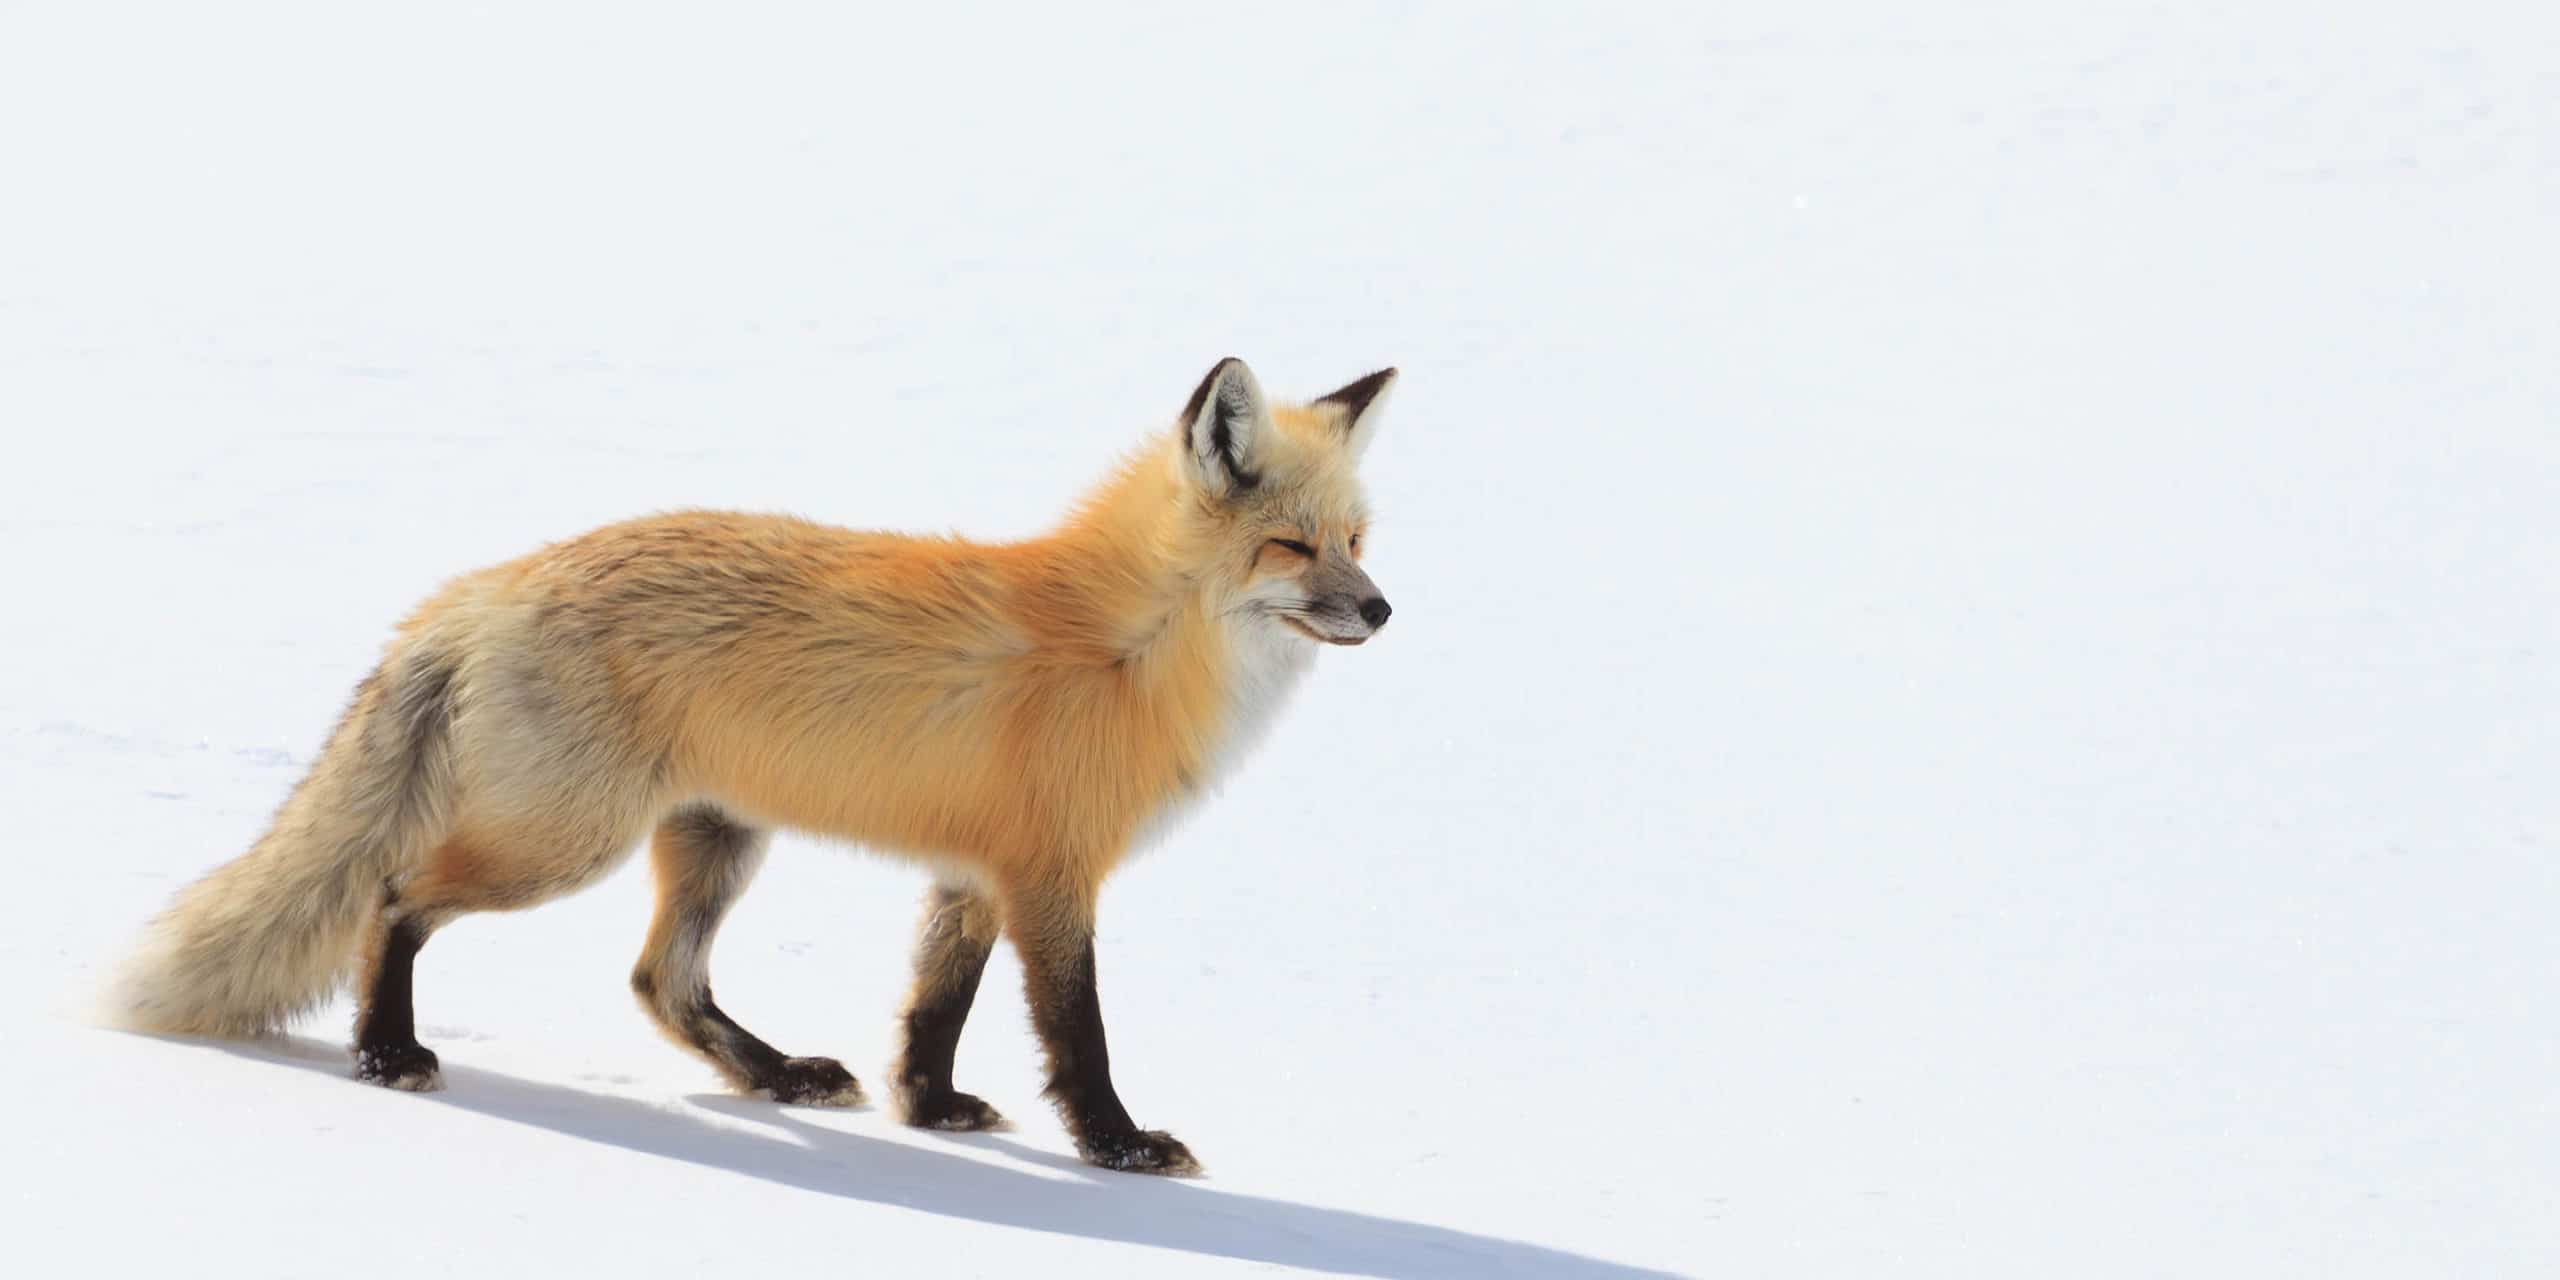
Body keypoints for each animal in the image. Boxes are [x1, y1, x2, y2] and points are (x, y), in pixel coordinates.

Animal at [109, 356, 1396, 1175]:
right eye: (1290, 546)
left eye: (1356, 539)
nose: (1383, 610)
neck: (1124, 647)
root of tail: (486, 583)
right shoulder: (1050, 876)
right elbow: (1078, 1034)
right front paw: (1119, 1146)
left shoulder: (975, 873)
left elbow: (933, 1010)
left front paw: (929, 1111)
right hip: (561, 844)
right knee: (392, 897)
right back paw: (387, 1052)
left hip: (715, 839)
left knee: (659, 981)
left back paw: (779, 1075)